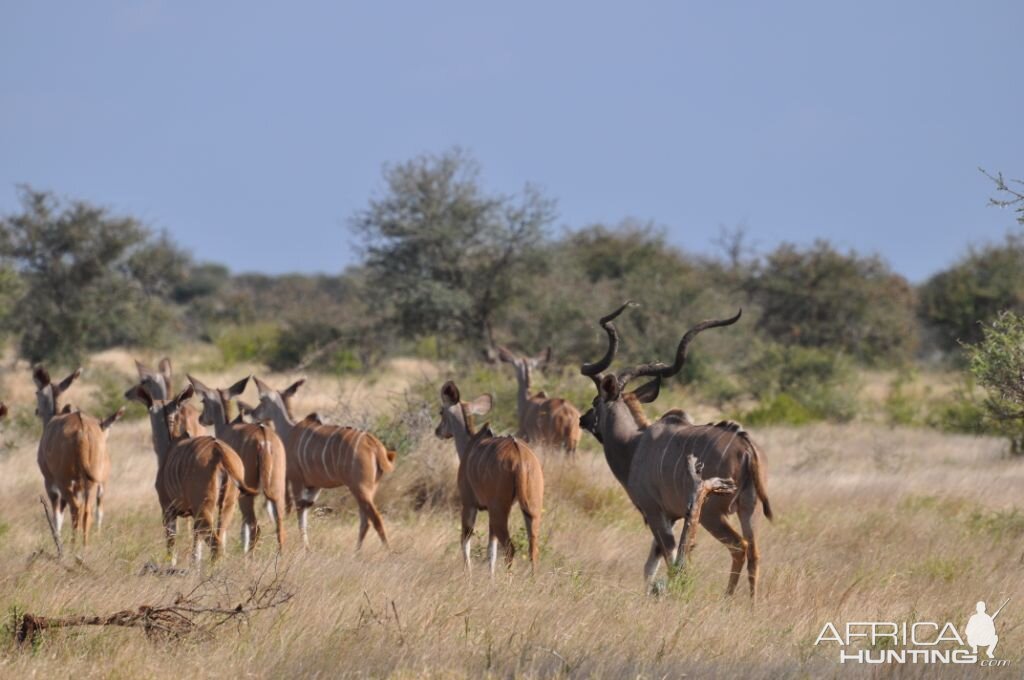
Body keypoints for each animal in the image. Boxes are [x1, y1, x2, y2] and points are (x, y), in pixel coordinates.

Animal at [32, 366, 124, 548]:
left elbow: (57, 517)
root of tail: (82, 428)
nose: (37, 411)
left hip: (65, 482)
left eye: (37, 392)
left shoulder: (51, 483)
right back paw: (84, 546)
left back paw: (74, 546)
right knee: (87, 511)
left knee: (76, 509)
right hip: (90, 482)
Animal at [188, 374, 288, 557]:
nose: (200, 419)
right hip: (276, 490)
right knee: (279, 526)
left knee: (255, 526)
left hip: (244, 495)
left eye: (203, 401)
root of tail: (264, 439)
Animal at [247, 376, 395, 553]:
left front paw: (305, 547)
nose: (252, 413)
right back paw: (357, 552)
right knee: (365, 520)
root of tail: (375, 446)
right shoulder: (314, 486)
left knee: (376, 518)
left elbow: (300, 511)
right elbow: (305, 508)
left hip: (361, 488)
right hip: (366, 489)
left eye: (261, 400)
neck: (289, 431)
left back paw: (387, 551)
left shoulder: (296, 480)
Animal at [432, 378, 544, 577]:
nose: (438, 431)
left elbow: (466, 541)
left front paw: (468, 575)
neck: (470, 444)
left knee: (510, 548)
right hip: (531, 509)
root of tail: (520, 457)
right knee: (533, 549)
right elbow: (491, 550)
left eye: (441, 411)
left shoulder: (469, 504)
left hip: (499, 510)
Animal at [581, 303, 770, 593]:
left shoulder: (655, 512)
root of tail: (746, 447)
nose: (582, 419)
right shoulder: (671, 516)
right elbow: (652, 564)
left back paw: (727, 598)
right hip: (749, 510)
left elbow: (668, 559)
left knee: (740, 546)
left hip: (713, 514)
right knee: (755, 553)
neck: (635, 444)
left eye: (595, 401)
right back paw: (751, 601)